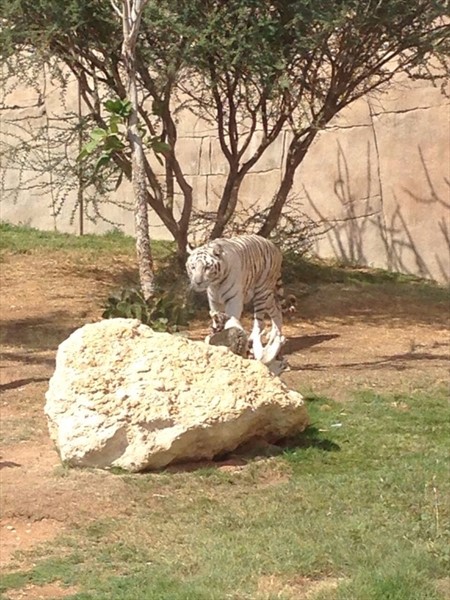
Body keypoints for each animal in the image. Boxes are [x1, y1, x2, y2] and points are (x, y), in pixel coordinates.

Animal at [185, 233, 284, 366]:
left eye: (207, 267)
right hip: (267, 296)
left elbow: (232, 319)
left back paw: (255, 338)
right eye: (193, 267)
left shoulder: (234, 300)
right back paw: (275, 335)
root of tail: (273, 245)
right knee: (277, 309)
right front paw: (215, 332)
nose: (197, 282)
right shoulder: (214, 301)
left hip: (261, 292)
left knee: (260, 321)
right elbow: (216, 318)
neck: (216, 284)